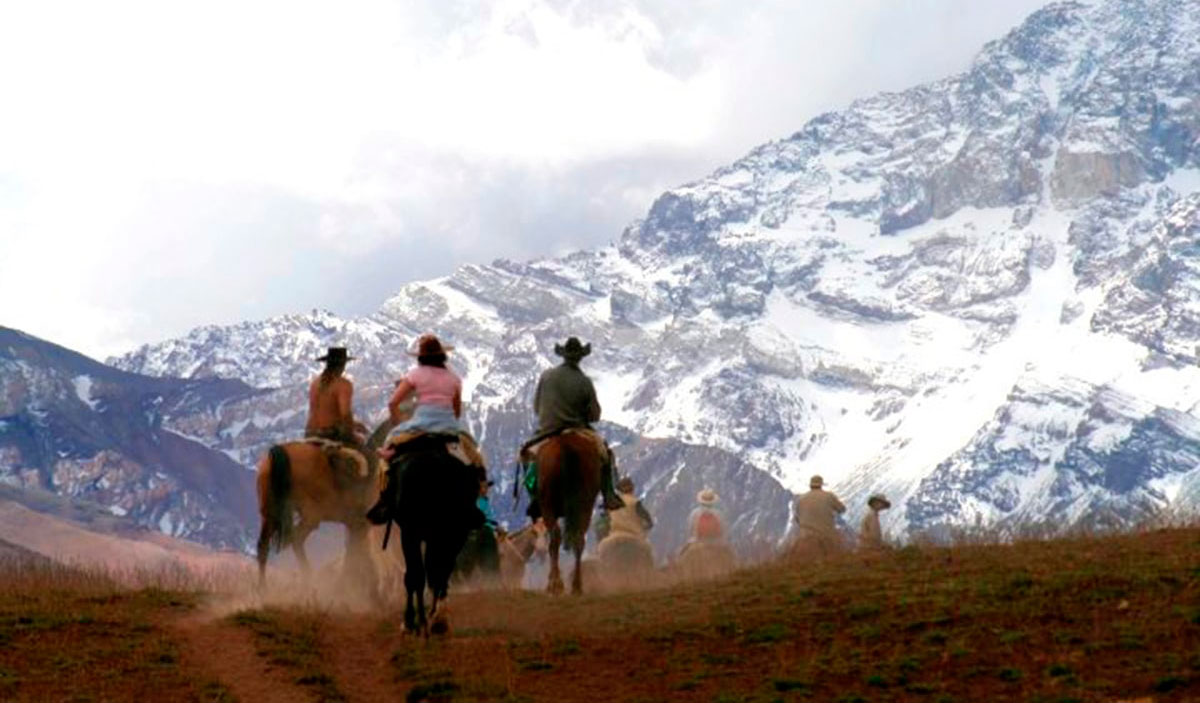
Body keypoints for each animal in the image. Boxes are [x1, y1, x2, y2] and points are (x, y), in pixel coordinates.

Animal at [255, 419, 391, 599]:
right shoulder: (361, 523)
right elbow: (357, 552)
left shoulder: (354, 524)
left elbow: (354, 550)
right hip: (312, 515)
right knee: (296, 540)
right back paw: (309, 582)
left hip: (269, 514)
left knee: (263, 546)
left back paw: (264, 590)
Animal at [381, 431, 480, 633]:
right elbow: (435, 571)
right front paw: (433, 616)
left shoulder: (410, 534)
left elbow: (415, 574)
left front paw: (410, 621)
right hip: (452, 534)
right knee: (440, 571)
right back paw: (437, 619)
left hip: (419, 533)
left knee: (421, 573)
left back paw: (422, 620)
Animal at [537, 431, 600, 590]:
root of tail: (567, 447)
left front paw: (553, 579)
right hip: (585, 505)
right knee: (579, 539)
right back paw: (576, 586)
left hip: (548, 504)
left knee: (555, 536)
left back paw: (556, 584)